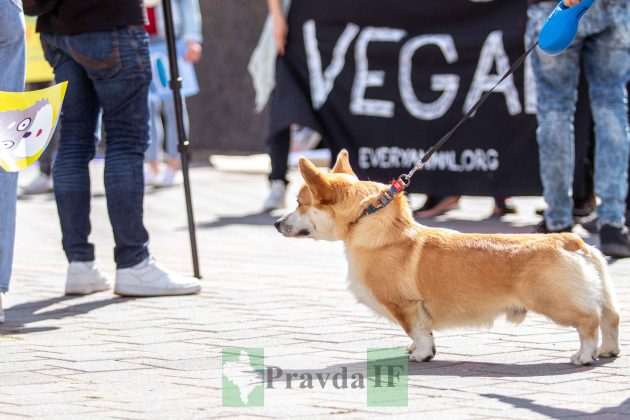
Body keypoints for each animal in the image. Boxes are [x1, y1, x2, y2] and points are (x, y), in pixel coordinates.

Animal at [276, 150, 624, 364]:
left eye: (300, 203)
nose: (277, 223)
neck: (368, 221)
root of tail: (568, 239)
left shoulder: (406, 306)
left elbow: (417, 331)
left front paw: (421, 354)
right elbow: (420, 332)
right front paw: (417, 349)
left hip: (555, 302)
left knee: (589, 321)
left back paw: (584, 356)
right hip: (599, 295)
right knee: (611, 317)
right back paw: (608, 351)